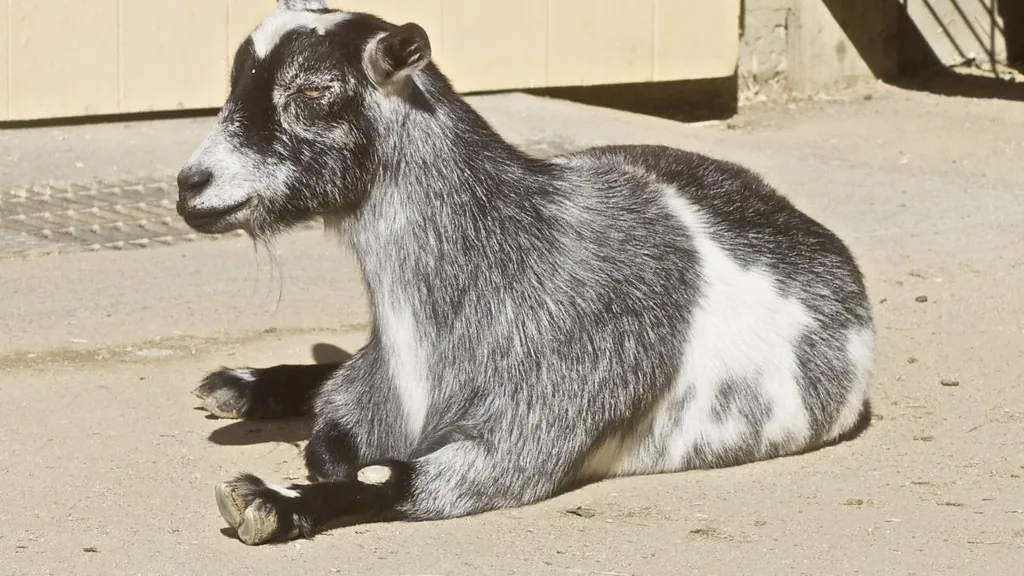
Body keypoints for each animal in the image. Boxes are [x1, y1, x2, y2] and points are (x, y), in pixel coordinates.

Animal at [176, 0, 876, 546]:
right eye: (235, 83)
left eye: (312, 93)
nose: (190, 185)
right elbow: (332, 438)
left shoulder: (531, 434)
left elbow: (385, 475)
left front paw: (269, 501)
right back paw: (242, 383)